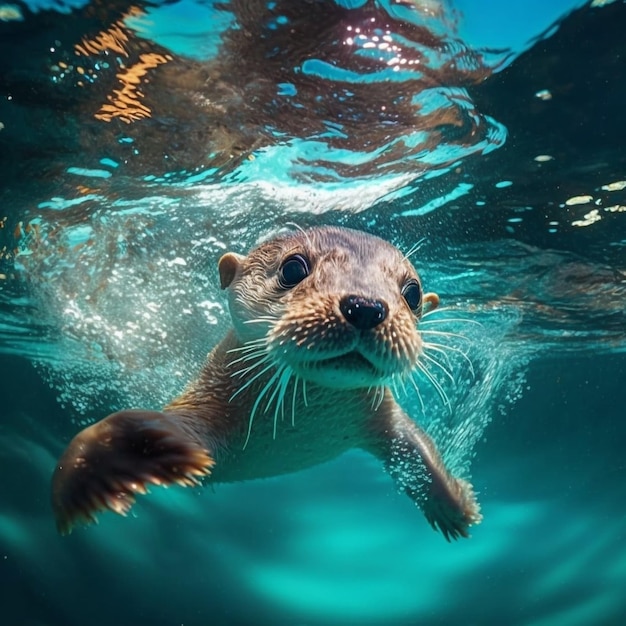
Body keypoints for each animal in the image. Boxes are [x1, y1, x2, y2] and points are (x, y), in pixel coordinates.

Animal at [51, 227, 480, 540]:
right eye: (293, 268)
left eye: (413, 293)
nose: (366, 306)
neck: (298, 430)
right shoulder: (210, 404)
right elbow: (136, 425)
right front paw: (113, 462)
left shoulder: (380, 412)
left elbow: (418, 449)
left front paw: (455, 504)